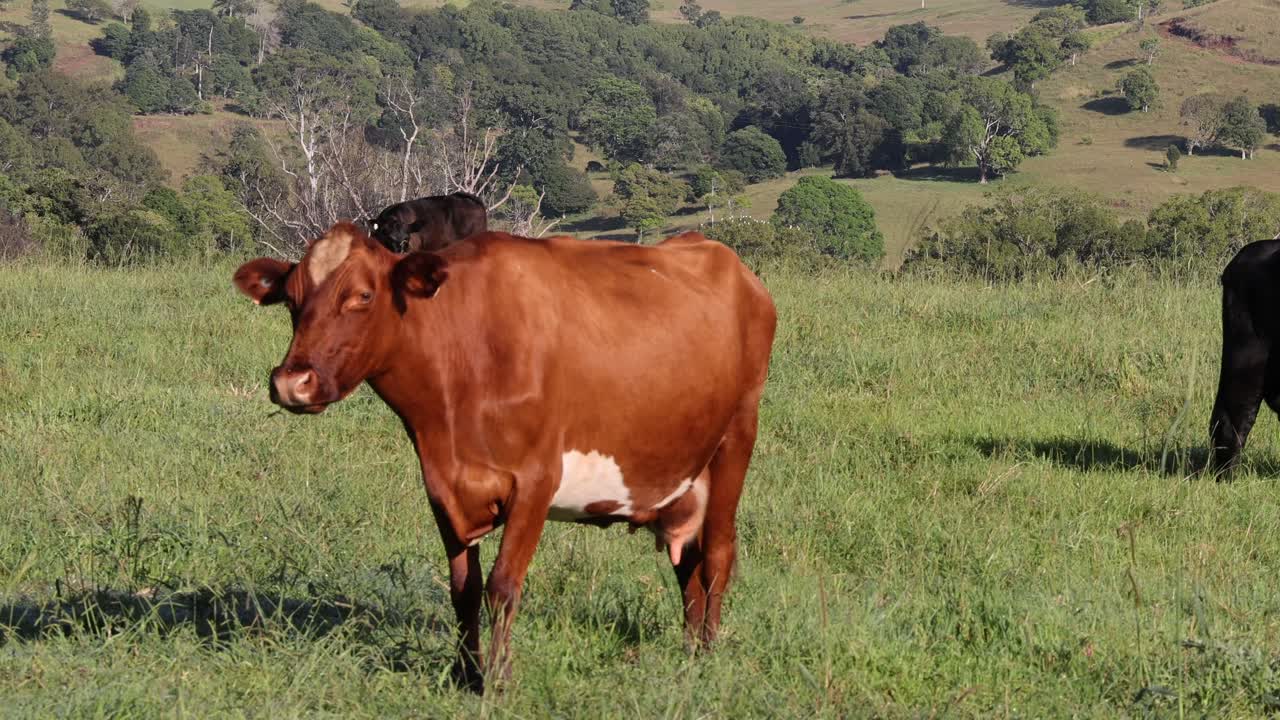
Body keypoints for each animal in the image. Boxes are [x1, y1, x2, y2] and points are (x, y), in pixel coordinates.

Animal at [232, 223, 777, 691]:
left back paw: (708, 654)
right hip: (681, 476)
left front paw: (497, 680)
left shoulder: (536, 481)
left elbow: (502, 585)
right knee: (689, 563)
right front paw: (464, 672)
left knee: (718, 555)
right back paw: (689, 651)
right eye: (291, 300)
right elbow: (464, 588)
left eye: (362, 296)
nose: (292, 382)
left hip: (735, 441)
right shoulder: (443, 487)